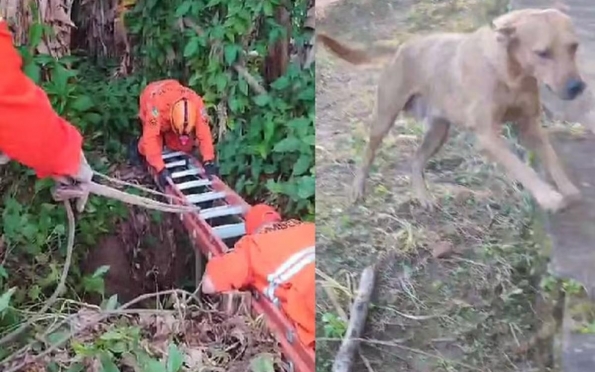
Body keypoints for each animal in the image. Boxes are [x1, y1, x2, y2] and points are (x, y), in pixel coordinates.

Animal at [318, 8, 584, 212]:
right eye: (542, 53)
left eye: (574, 47)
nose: (577, 87)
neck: (509, 73)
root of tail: (399, 49)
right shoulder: (488, 136)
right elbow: (522, 168)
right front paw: (548, 196)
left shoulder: (530, 126)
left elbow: (552, 159)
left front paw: (569, 190)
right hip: (384, 118)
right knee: (368, 154)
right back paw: (357, 189)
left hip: (438, 132)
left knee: (415, 161)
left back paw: (423, 197)